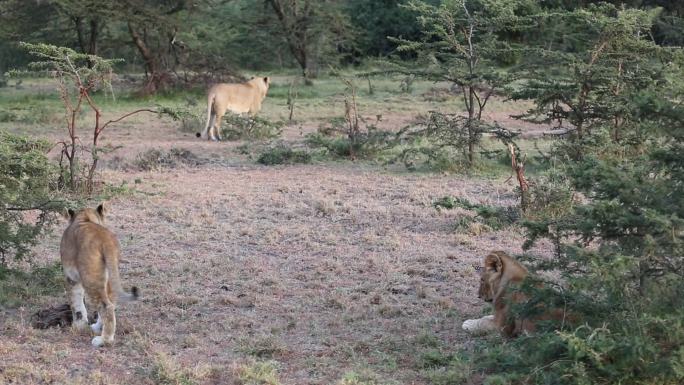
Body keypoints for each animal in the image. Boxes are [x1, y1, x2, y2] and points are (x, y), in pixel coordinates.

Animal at [61, 202, 140, 346]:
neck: (84, 218)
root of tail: (105, 239)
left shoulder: (71, 278)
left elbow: (76, 304)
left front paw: (78, 326)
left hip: (90, 278)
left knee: (105, 306)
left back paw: (104, 340)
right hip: (107, 276)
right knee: (110, 302)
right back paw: (99, 328)